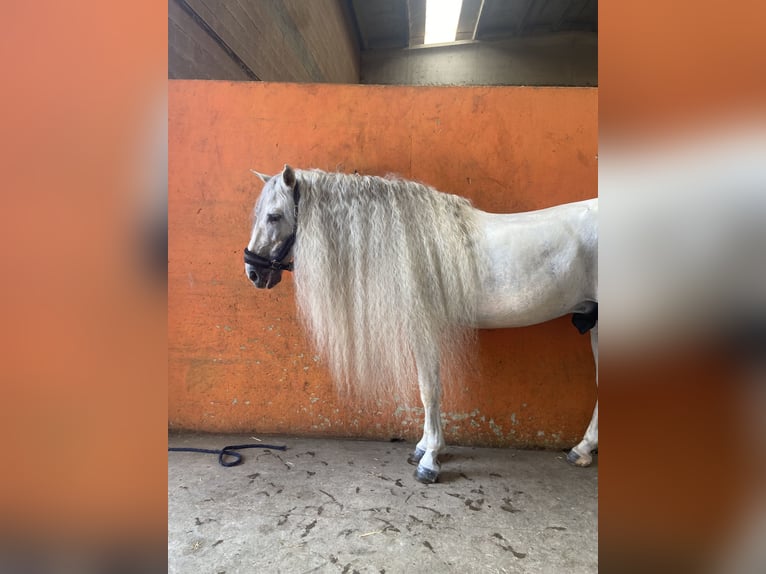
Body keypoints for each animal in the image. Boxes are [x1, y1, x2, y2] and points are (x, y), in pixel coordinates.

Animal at [244, 164, 598, 483]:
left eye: (274, 216)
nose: (253, 273)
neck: (408, 245)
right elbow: (425, 388)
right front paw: (423, 448)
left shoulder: (423, 328)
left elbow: (429, 390)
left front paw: (430, 460)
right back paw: (582, 450)